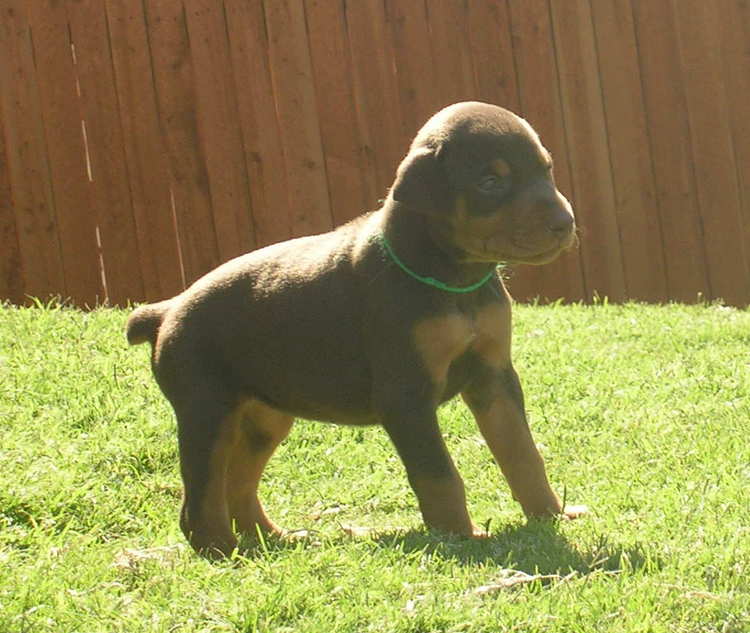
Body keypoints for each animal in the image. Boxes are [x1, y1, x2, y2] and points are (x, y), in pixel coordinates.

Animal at [128, 100, 588, 556]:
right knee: (201, 493)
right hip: (206, 410)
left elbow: (522, 452)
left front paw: (549, 515)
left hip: (264, 416)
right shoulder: (405, 396)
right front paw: (459, 535)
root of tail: (167, 310)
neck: (455, 279)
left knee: (239, 482)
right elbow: (438, 473)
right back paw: (221, 549)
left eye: (545, 169)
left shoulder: (494, 376)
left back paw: (271, 538)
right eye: (490, 182)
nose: (565, 223)